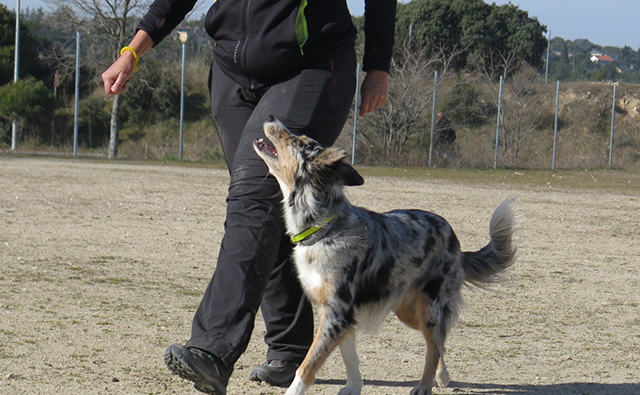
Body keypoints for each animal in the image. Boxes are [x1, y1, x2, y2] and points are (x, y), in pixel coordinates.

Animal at [252, 117, 516, 395]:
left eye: (296, 140)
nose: (270, 117)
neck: (324, 227)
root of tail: (453, 237)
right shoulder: (341, 316)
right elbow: (350, 357)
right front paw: (353, 387)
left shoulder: (336, 313)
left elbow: (306, 366)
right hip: (408, 311)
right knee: (440, 340)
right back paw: (442, 376)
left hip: (429, 308)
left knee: (434, 346)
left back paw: (424, 386)